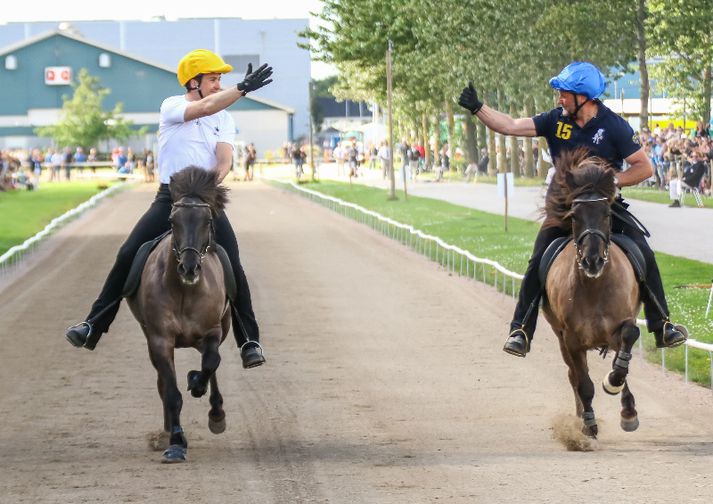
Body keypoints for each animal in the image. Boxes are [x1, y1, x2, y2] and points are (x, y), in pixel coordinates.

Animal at [126, 167, 229, 462]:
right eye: (173, 221)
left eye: (208, 220)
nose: (189, 268)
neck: (185, 290)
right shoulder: (160, 339)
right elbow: (171, 394)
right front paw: (175, 442)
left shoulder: (213, 331)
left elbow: (211, 363)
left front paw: (197, 385)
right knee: (163, 383)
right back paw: (165, 432)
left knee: (212, 364)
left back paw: (215, 411)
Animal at [540, 149, 640, 438]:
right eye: (574, 215)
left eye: (607, 213)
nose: (592, 260)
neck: (594, 288)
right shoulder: (571, 339)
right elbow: (583, 383)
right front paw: (588, 424)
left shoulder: (622, 324)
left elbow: (628, 344)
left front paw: (618, 392)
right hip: (561, 337)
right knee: (574, 375)